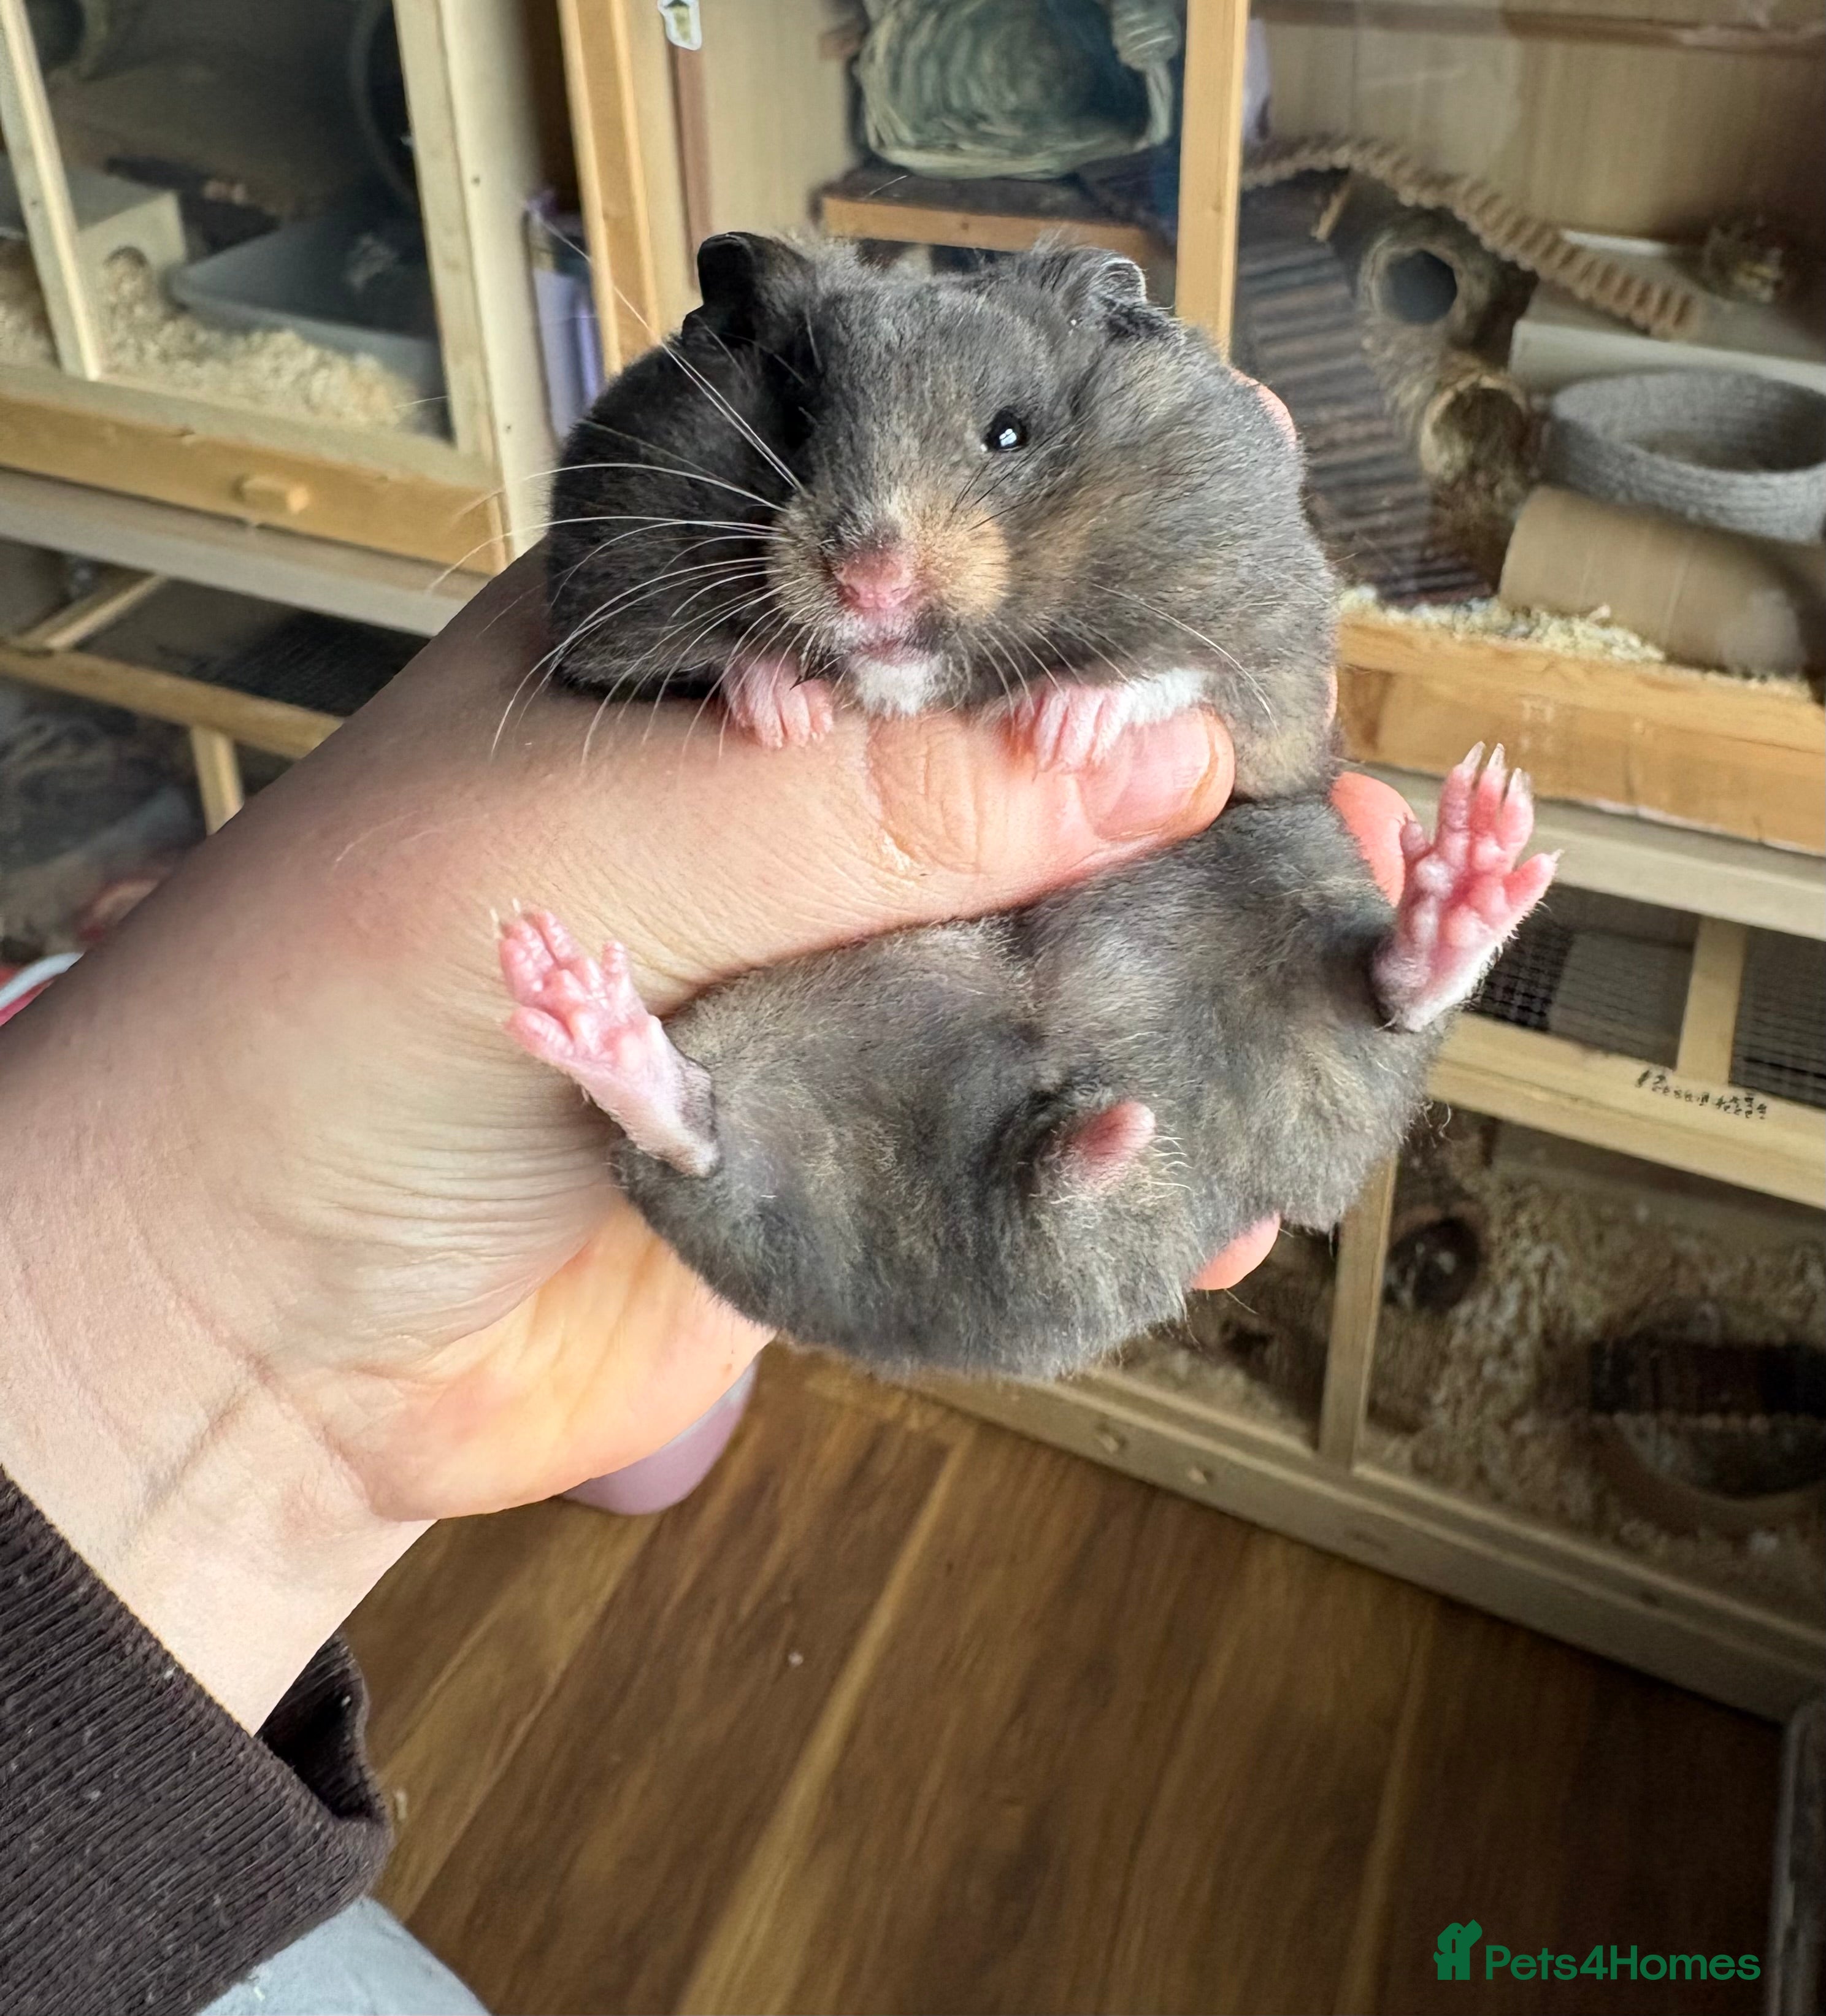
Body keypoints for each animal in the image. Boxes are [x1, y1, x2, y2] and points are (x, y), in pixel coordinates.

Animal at [509, 235, 1554, 1379]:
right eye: (793, 415)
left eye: (1008, 431)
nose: (870, 581)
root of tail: (1060, 1219)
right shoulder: (595, 613)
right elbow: (686, 662)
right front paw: (783, 709)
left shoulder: (1268, 633)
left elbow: (1176, 676)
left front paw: (1059, 730)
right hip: (765, 1076)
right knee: (701, 1140)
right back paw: (571, 997)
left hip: (1302, 875)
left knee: (1389, 991)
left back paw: (1479, 850)